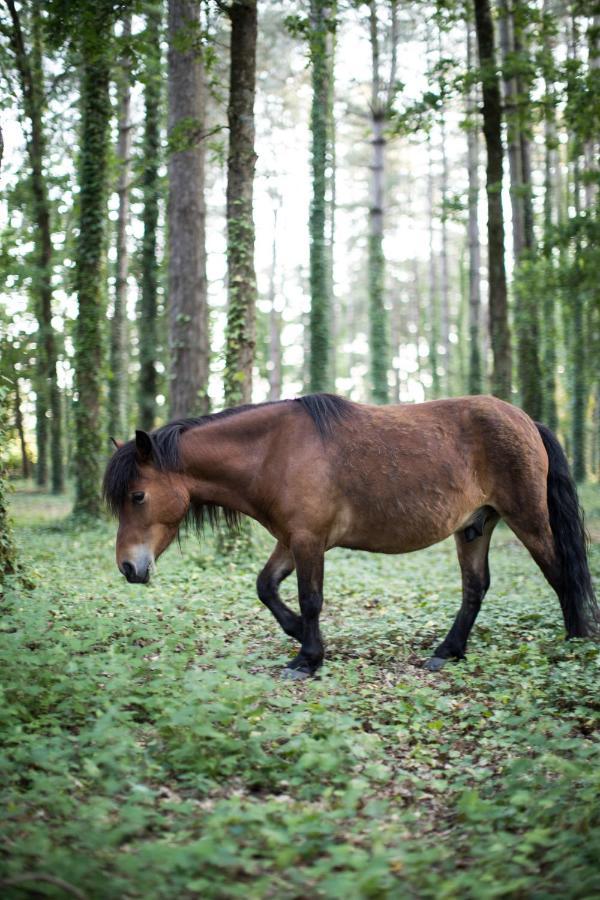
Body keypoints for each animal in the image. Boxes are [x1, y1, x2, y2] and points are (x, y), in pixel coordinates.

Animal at [102, 390, 596, 680]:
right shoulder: (291, 539)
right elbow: (266, 587)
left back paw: (576, 640)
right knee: (476, 588)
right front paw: (300, 635)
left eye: (138, 496)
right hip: (474, 526)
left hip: (527, 517)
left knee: (559, 573)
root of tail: (527, 421)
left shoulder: (308, 541)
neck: (273, 452)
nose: (127, 566)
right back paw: (448, 651)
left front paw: (307, 658)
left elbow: (310, 599)